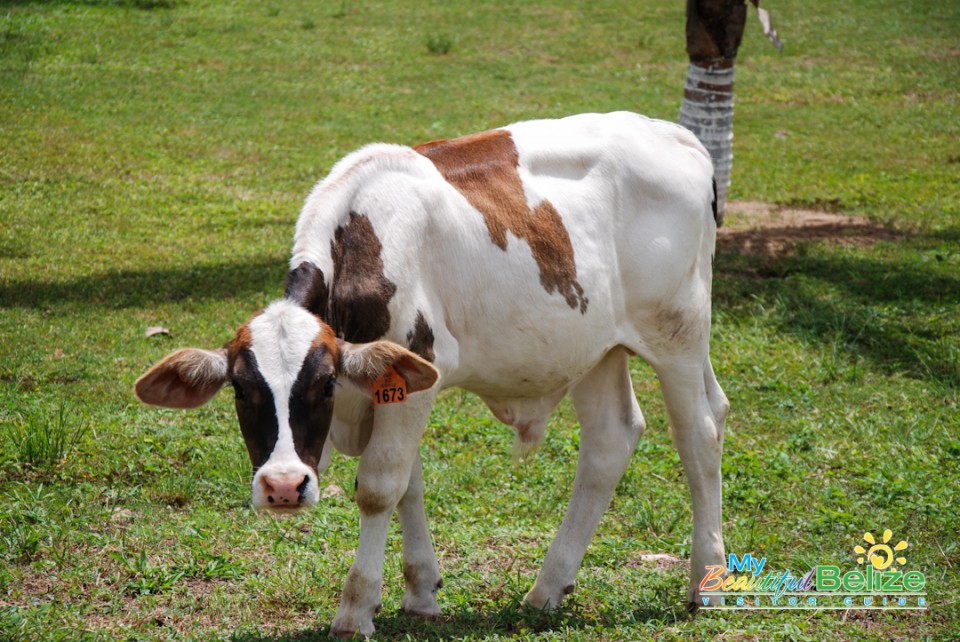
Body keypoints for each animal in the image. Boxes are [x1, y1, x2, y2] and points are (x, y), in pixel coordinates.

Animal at [135, 111, 732, 636]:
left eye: (324, 384)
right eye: (241, 390)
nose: (283, 486)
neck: (363, 241)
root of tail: (678, 137)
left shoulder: (416, 373)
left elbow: (380, 487)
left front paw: (356, 609)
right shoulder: (398, 380)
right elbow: (410, 486)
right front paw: (420, 591)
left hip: (677, 334)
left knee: (698, 434)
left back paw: (705, 582)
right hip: (594, 348)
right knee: (611, 441)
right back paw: (547, 589)